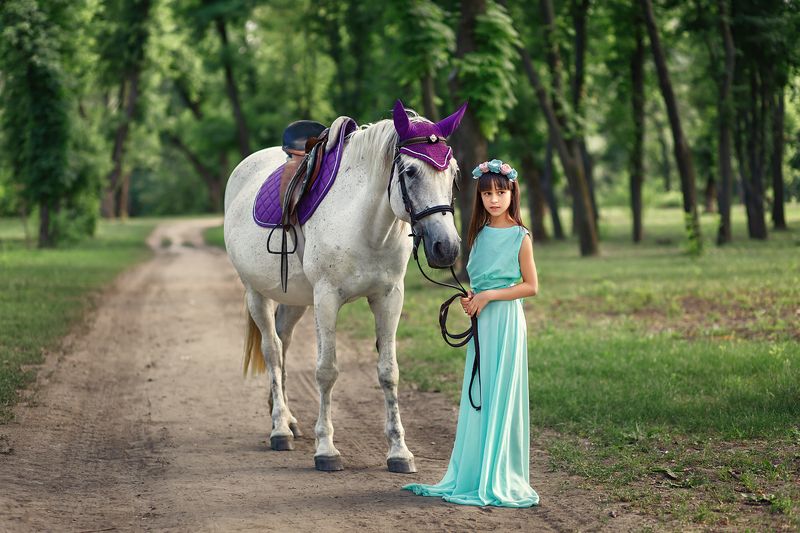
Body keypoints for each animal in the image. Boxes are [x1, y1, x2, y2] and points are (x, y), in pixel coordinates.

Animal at [223, 100, 467, 472]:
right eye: (410, 172)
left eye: (452, 172)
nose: (447, 247)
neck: (364, 223)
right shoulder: (326, 298)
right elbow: (326, 371)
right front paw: (326, 449)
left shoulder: (389, 298)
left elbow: (389, 372)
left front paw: (399, 451)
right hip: (256, 293)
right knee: (272, 350)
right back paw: (280, 428)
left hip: (294, 299)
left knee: (283, 343)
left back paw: (288, 419)